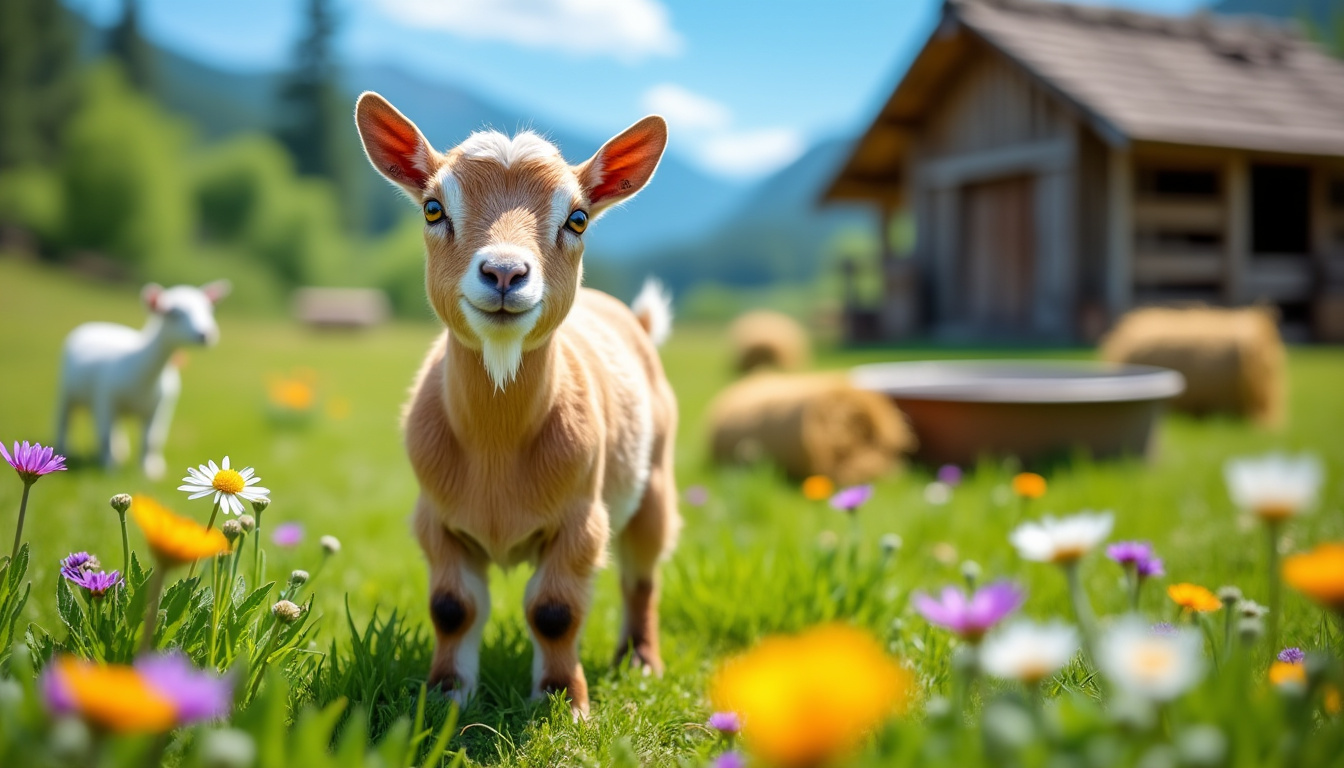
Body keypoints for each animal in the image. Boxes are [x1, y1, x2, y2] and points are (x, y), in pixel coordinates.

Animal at [55, 281, 230, 479]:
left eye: (209, 309)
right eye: (172, 313)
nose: (205, 335)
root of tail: (95, 324)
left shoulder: (161, 406)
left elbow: (152, 439)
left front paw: (150, 471)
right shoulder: (105, 398)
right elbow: (105, 436)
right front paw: (110, 468)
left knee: (117, 430)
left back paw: (121, 452)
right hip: (66, 391)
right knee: (64, 420)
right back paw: (64, 451)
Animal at [355, 92, 679, 715]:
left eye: (577, 218)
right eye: (433, 208)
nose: (504, 272)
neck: (496, 448)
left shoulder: (582, 520)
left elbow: (554, 611)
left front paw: (563, 702)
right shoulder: (435, 520)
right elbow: (452, 607)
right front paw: (446, 696)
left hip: (652, 482)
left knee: (643, 575)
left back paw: (642, 662)